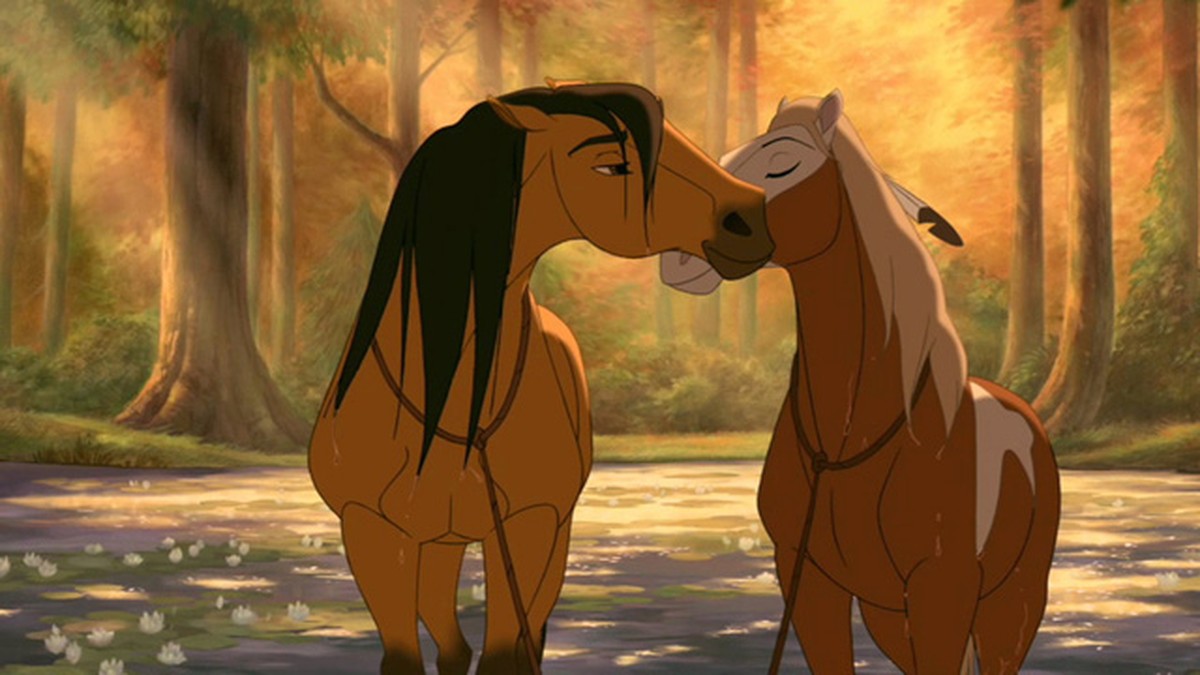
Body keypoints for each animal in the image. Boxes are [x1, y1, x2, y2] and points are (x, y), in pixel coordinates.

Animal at [307, 81, 773, 675]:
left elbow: (507, 653)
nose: (751, 217)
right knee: (451, 642)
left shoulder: (533, 527)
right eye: (611, 166)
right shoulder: (370, 531)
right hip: (438, 544)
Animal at [661, 91, 1060, 674]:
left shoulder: (942, 588)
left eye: (783, 162)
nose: (679, 255)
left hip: (1012, 602)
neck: (853, 434)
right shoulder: (808, 578)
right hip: (889, 615)